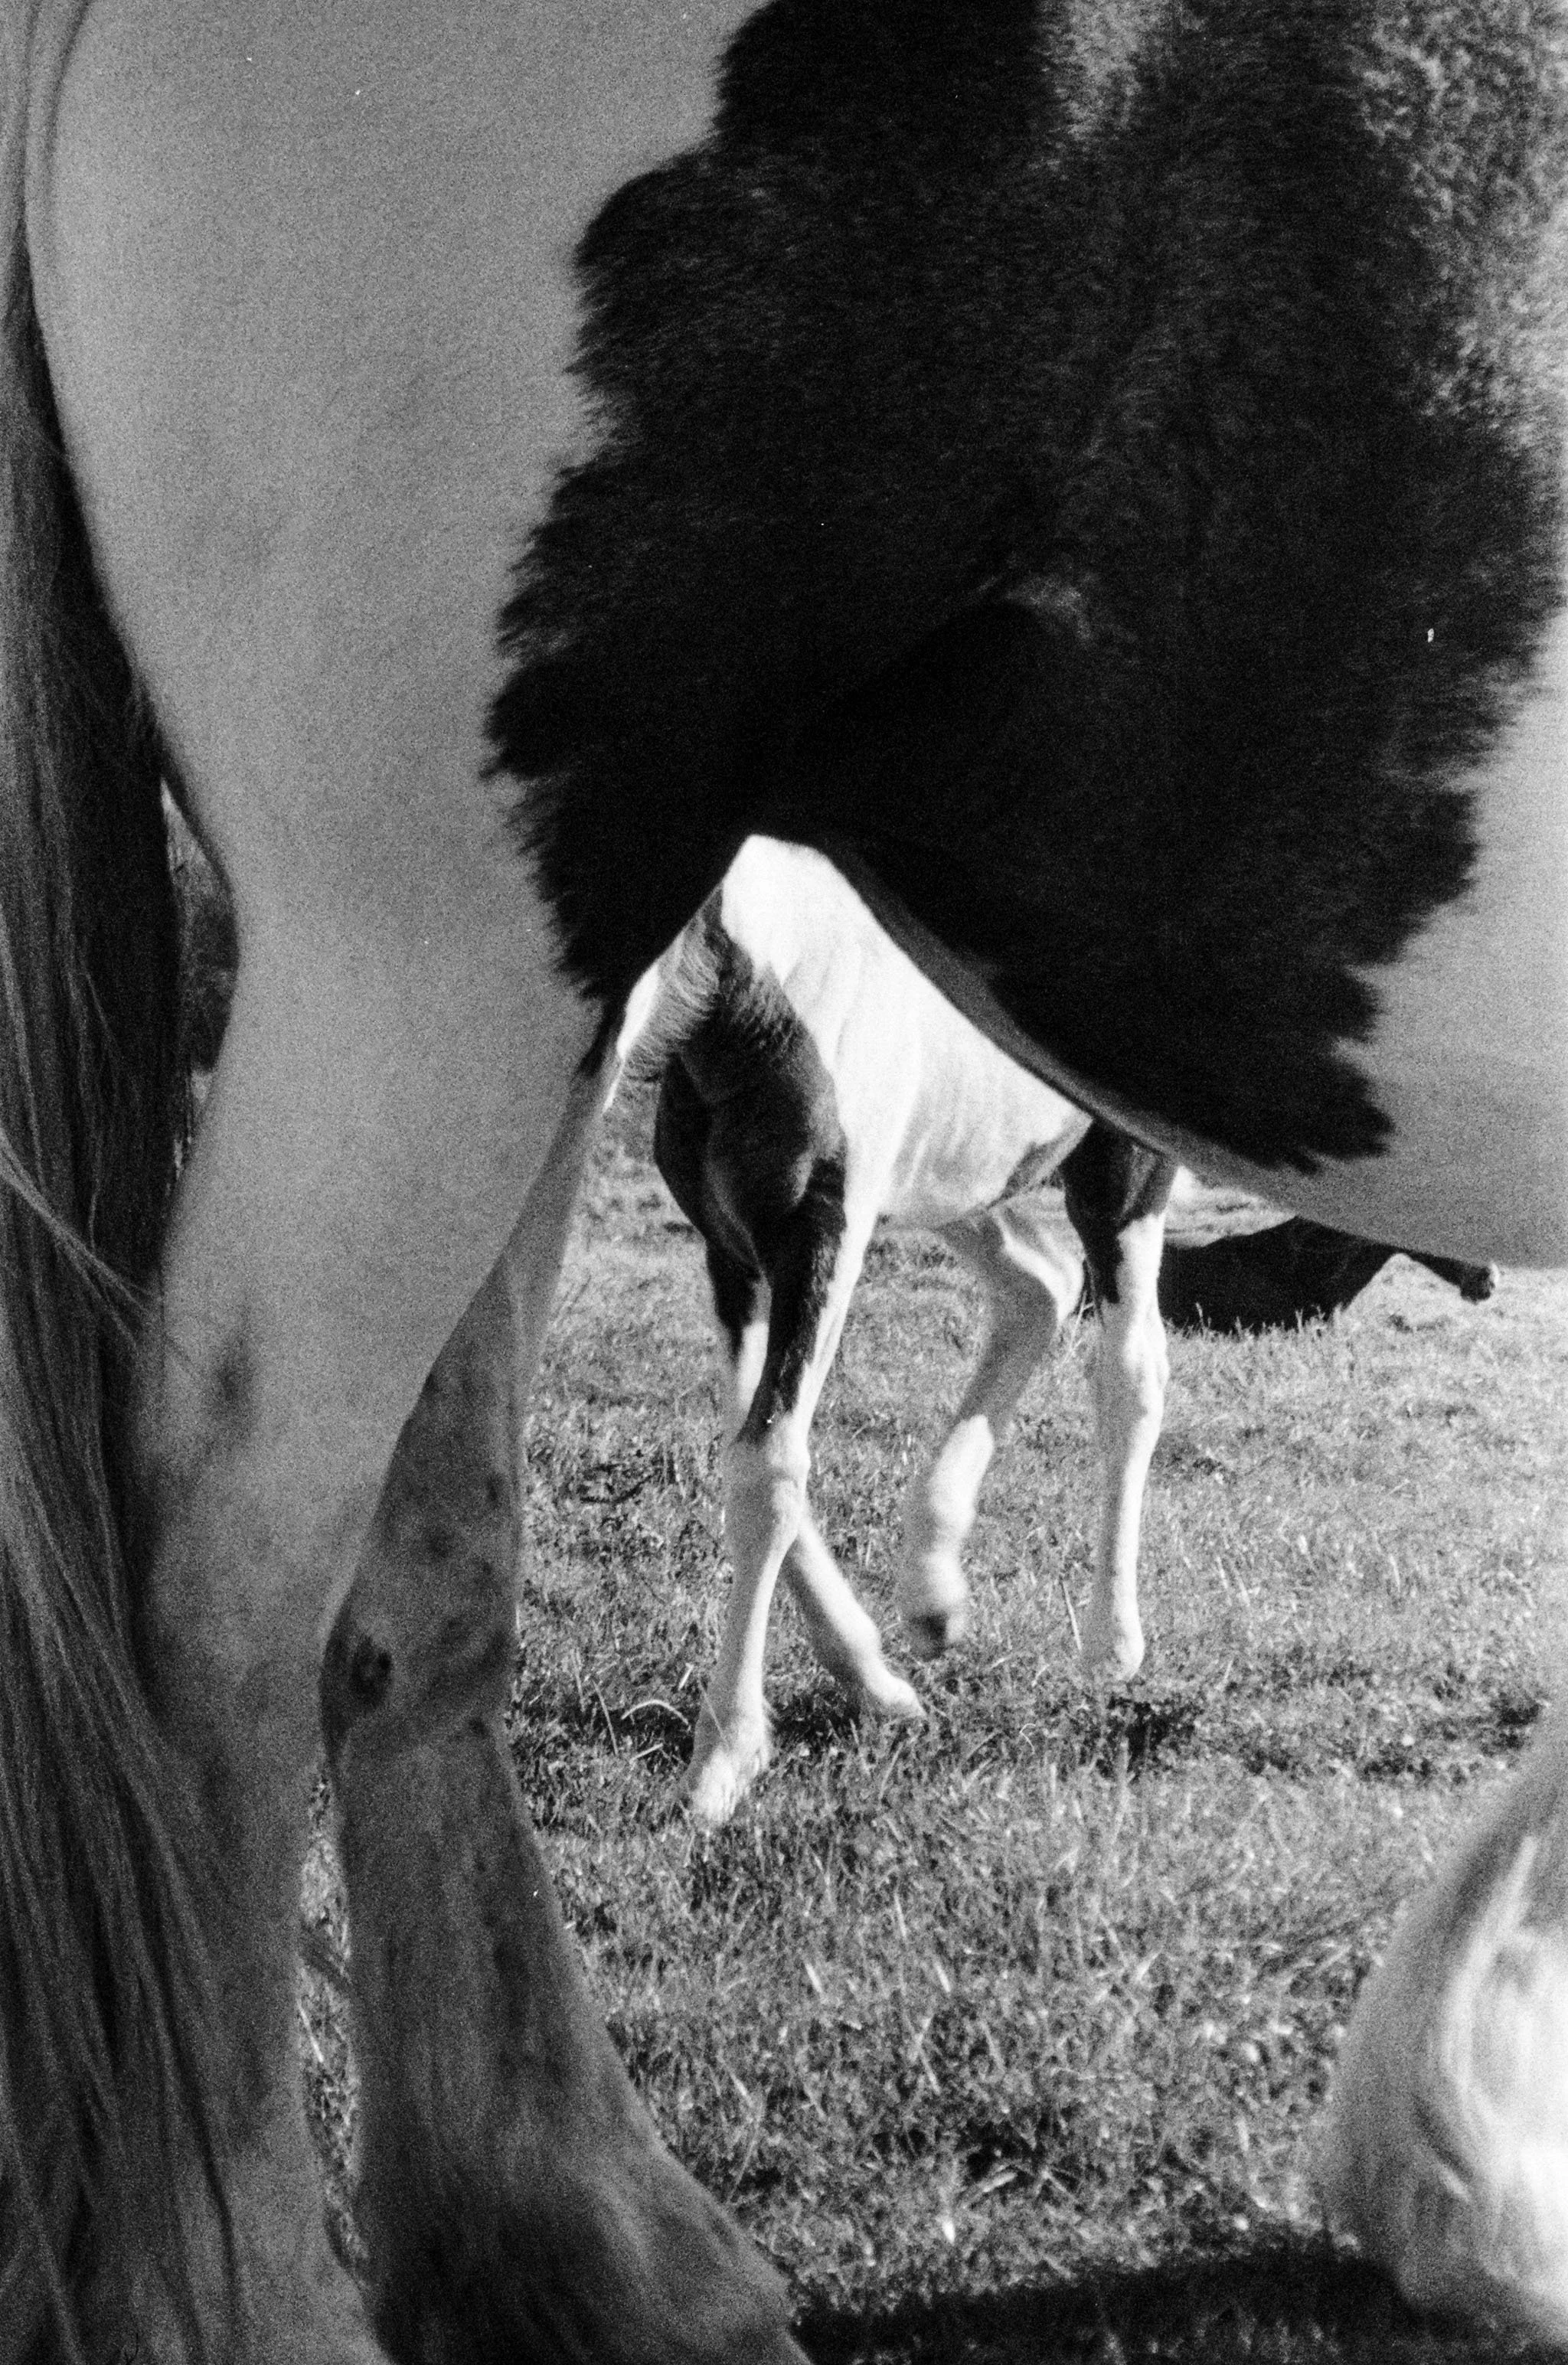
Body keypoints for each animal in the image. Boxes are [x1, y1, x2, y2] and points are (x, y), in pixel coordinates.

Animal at [640, 833, 1173, 1824]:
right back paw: (932, 1599)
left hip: (1117, 1170)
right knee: (1036, 1286)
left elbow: (769, 1464)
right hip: (957, 1176)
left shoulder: (823, 1234)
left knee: (1129, 1370)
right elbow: (754, 1451)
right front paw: (877, 1682)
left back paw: (1109, 1644)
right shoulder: (734, 1252)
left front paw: (721, 1759)